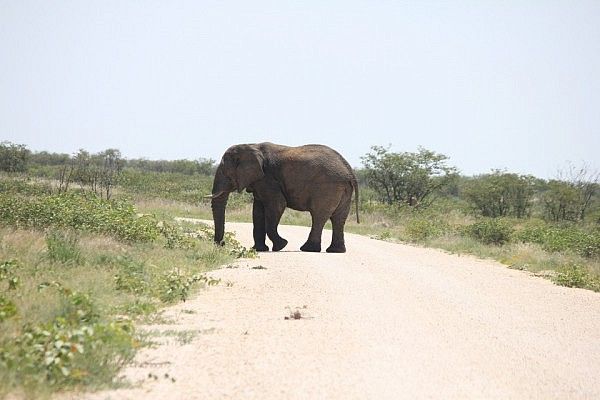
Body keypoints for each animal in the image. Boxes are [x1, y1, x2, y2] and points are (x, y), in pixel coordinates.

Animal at [206, 142, 358, 252]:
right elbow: (257, 212)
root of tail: (349, 171)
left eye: (226, 173)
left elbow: (277, 205)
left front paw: (281, 246)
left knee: (319, 216)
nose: (222, 244)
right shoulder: (261, 181)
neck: (251, 145)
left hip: (326, 188)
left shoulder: (268, 179)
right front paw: (260, 249)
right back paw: (335, 251)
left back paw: (308, 249)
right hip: (342, 190)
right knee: (338, 218)